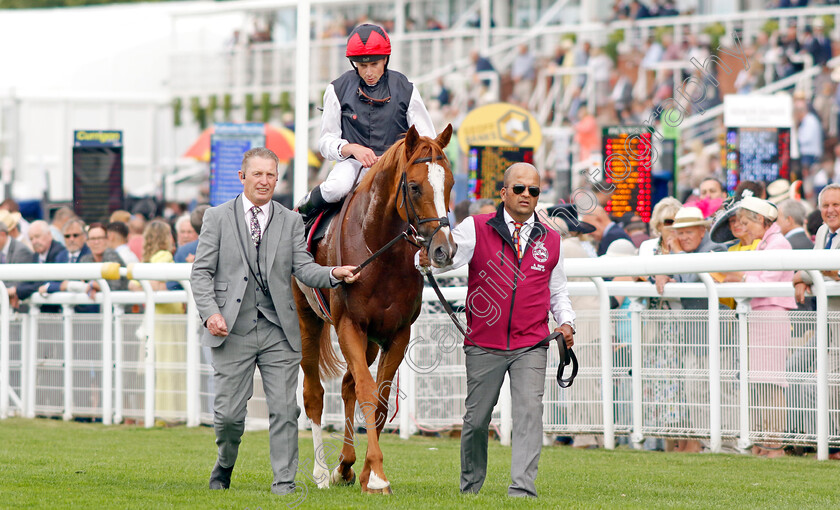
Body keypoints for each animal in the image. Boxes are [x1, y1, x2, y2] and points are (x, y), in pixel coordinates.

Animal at [292, 124, 456, 494]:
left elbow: (379, 400)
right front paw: (378, 476)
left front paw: (367, 472)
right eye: (414, 186)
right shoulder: (349, 325)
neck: (380, 251)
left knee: (347, 385)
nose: (444, 250)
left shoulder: (397, 334)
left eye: (451, 183)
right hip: (308, 320)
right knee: (314, 393)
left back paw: (344, 466)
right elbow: (367, 392)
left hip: (368, 342)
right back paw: (322, 472)